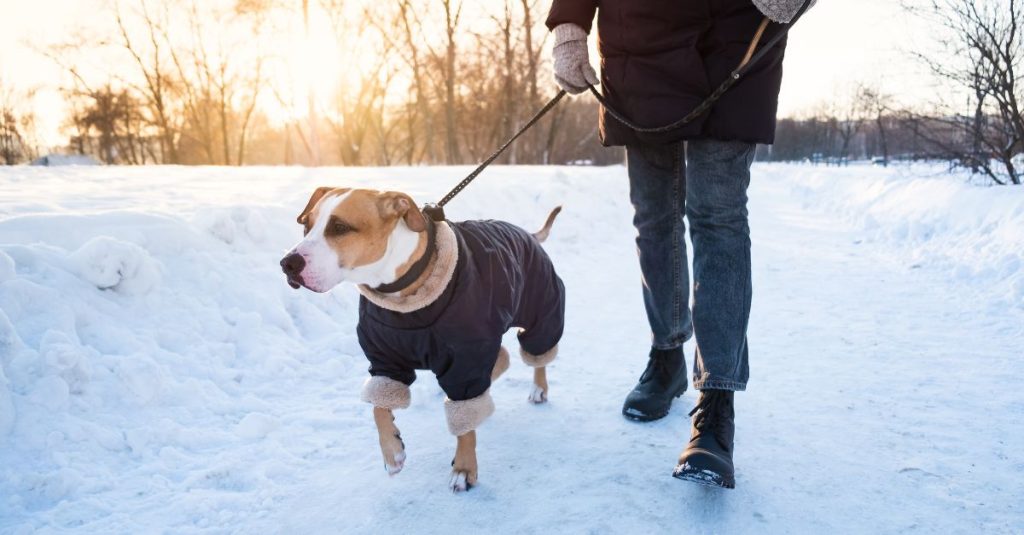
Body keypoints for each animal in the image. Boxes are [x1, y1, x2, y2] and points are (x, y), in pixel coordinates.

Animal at [280, 187, 565, 491]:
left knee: (538, 352)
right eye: (306, 226)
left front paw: (464, 468)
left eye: (340, 227)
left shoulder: (466, 359)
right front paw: (392, 451)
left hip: (542, 308)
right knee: (502, 357)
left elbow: (465, 423)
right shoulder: (385, 360)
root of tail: (527, 233)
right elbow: (379, 407)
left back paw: (539, 389)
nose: (287, 263)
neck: (401, 293)